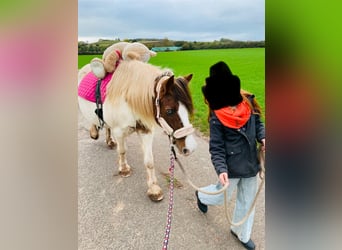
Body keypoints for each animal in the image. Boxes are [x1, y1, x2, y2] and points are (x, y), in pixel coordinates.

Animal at [77, 60, 195, 201]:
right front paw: (124, 169)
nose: (190, 148)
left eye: (187, 109)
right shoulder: (119, 132)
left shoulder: (146, 131)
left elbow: (149, 161)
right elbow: (122, 151)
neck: (129, 101)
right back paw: (94, 132)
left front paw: (154, 188)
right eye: (169, 110)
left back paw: (109, 141)